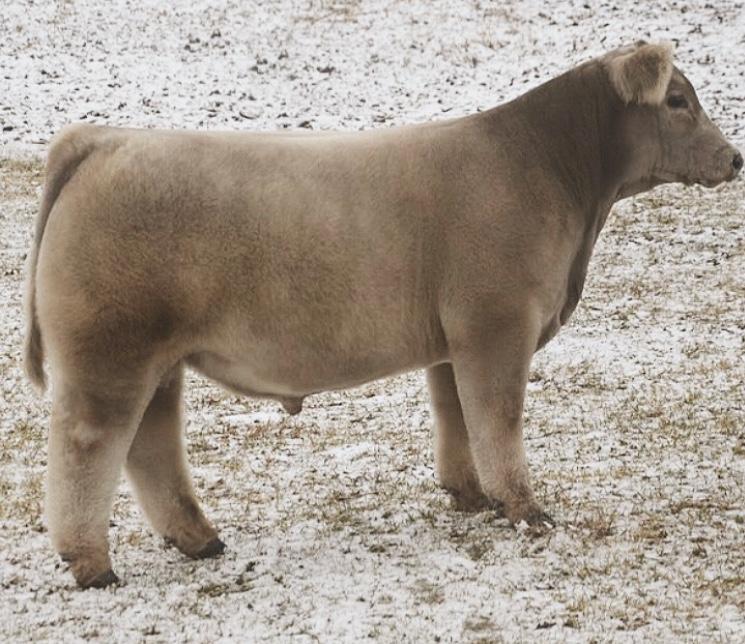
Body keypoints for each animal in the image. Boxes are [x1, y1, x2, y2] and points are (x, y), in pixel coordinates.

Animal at [23, 42, 741, 588]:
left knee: (150, 443)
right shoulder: (497, 326)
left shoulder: (457, 338)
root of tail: (103, 140)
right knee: (89, 446)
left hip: (157, 356)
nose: (734, 158)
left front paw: (469, 495)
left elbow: (456, 415)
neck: (551, 172)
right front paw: (526, 509)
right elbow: (499, 419)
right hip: (108, 352)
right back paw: (92, 565)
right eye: (677, 101)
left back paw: (199, 539)